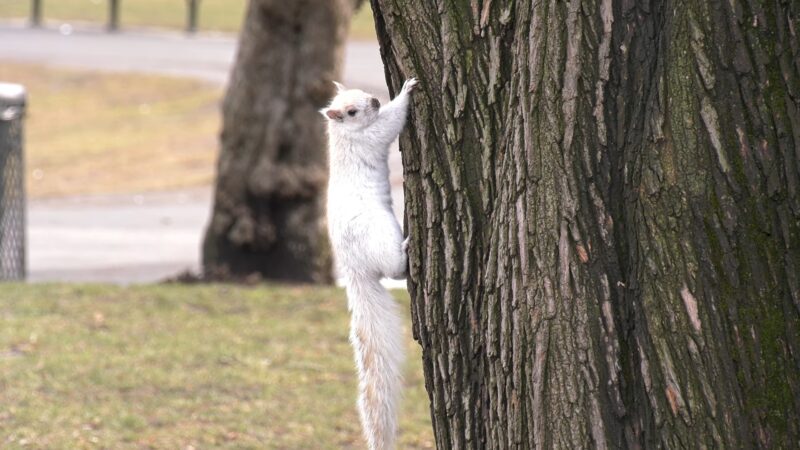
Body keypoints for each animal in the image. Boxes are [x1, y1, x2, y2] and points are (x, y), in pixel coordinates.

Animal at [320, 78, 418, 450]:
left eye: (361, 93)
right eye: (350, 111)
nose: (376, 100)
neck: (343, 134)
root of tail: (353, 269)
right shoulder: (371, 137)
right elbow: (390, 123)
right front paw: (405, 91)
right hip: (379, 235)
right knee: (392, 269)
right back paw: (406, 249)